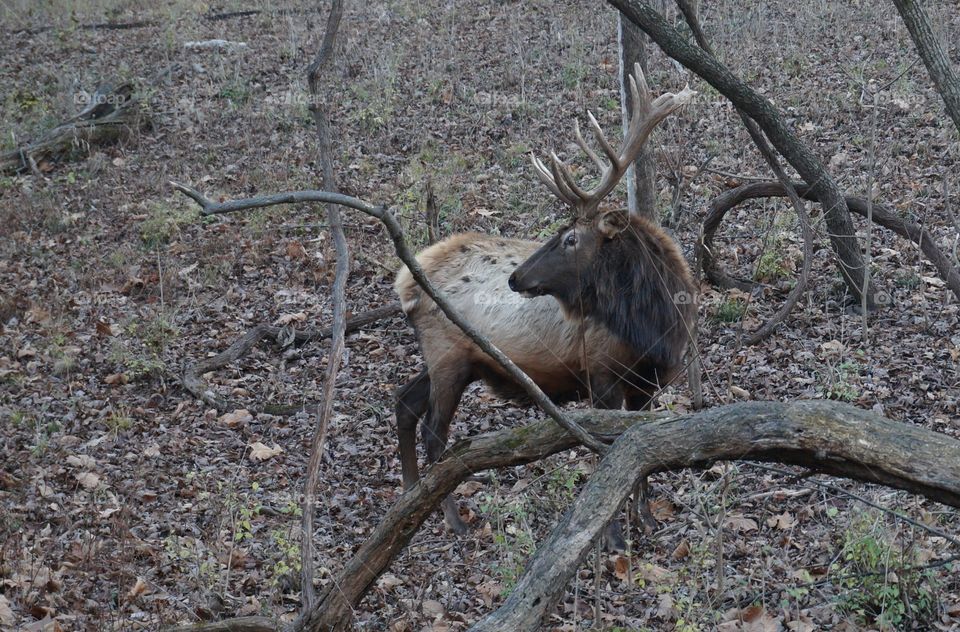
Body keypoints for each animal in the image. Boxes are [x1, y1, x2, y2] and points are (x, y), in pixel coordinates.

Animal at [394, 66, 692, 544]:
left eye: (570, 238)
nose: (516, 278)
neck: (655, 325)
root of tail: (404, 282)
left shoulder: (648, 382)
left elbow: (642, 449)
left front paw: (644, 519)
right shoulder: (601, 373)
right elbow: (610, 453)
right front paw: (612, 536)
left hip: (455, 358)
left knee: (404, 403)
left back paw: (408, 498)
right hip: (447, 356)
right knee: (434, 432)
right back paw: (452, 520)